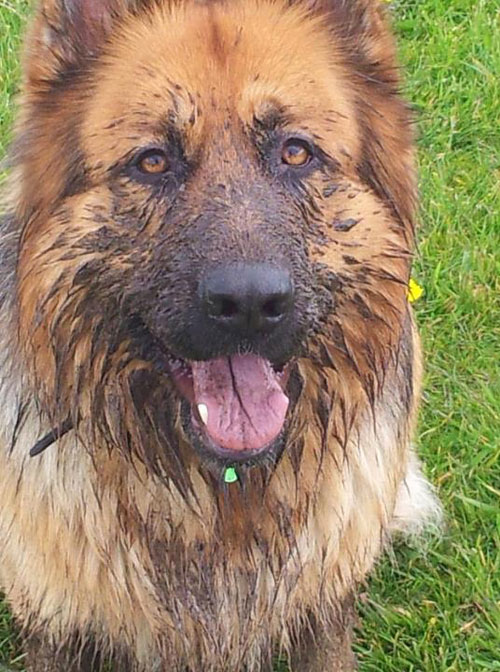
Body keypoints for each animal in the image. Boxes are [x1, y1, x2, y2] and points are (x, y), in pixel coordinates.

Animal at [0, 1, 438, 672]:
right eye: (153, 161)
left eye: (295, 152)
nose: (250, 304)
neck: (219, 503)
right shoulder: (60, 629)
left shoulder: (322, 614)